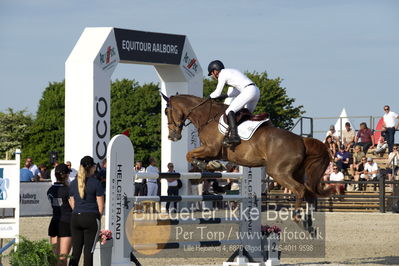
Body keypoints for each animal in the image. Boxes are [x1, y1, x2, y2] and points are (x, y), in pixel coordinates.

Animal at [162, 94, 334, 223]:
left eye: (166, 111)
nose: (172, 136)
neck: (207, 116)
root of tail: (301, 140)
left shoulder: (211, 148)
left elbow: (189, 155)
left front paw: (209, 165)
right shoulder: (212, 151)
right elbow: (199, 158)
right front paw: (213, 165)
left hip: (278, 172)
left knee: (300, 189)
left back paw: (298, 218)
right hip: (295, 172)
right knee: (309, 192)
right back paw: (308, 222)